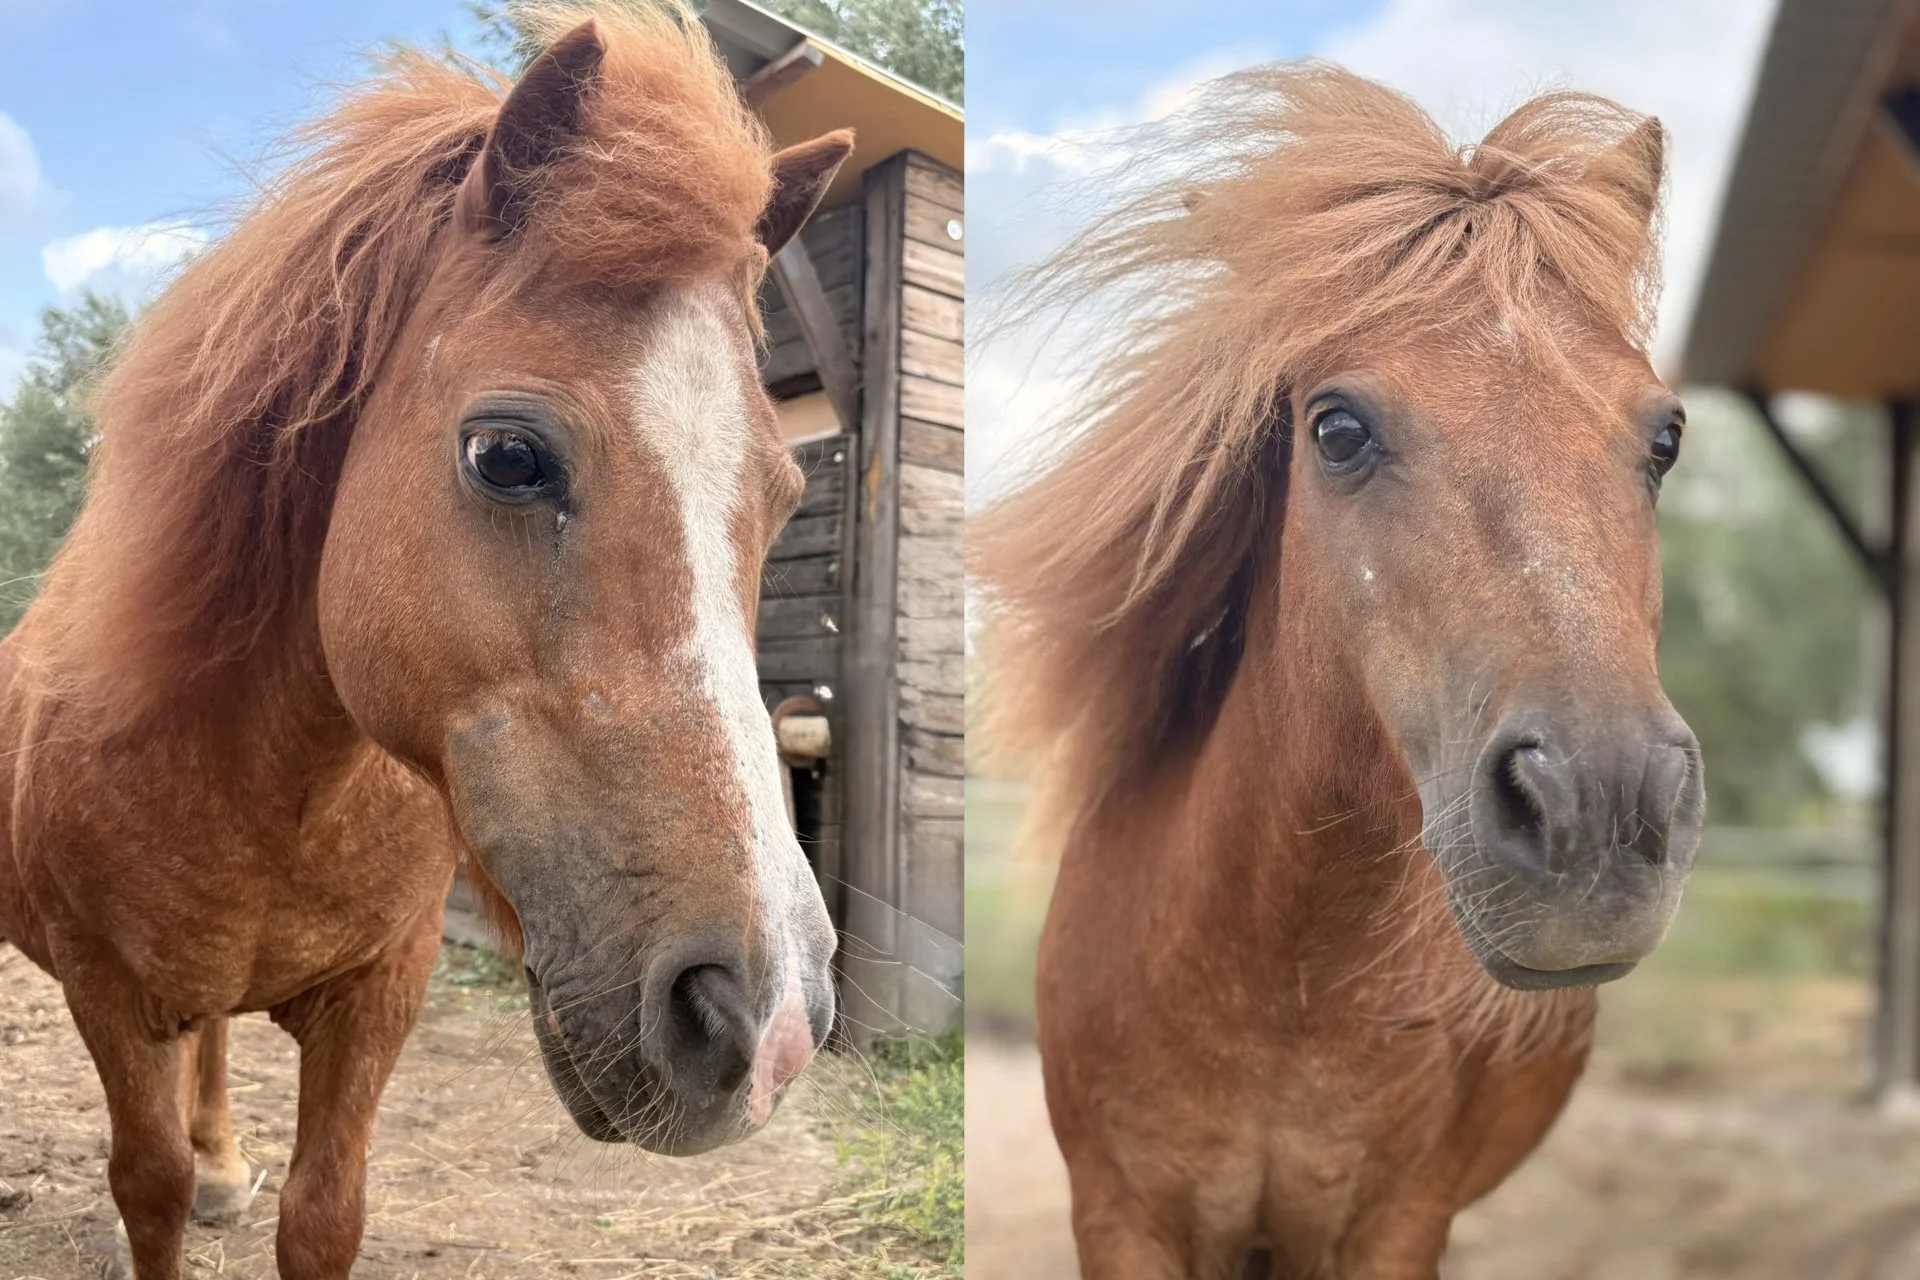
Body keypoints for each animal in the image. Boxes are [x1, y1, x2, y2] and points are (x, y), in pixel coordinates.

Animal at [0, 6, 854, 1276]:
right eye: (506, 455)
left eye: (787, 495)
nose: (771, 1022)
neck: (271, 793)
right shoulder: (111, 1003)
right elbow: (146, 1192)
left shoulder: (380, 997)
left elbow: (323, 1211)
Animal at [972, 66, 1706, 1279]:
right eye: (1338, 429)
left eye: (1666, 438)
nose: (1602, 807)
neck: (1283, 980)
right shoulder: (1121, 1215)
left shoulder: (1395, 1224)